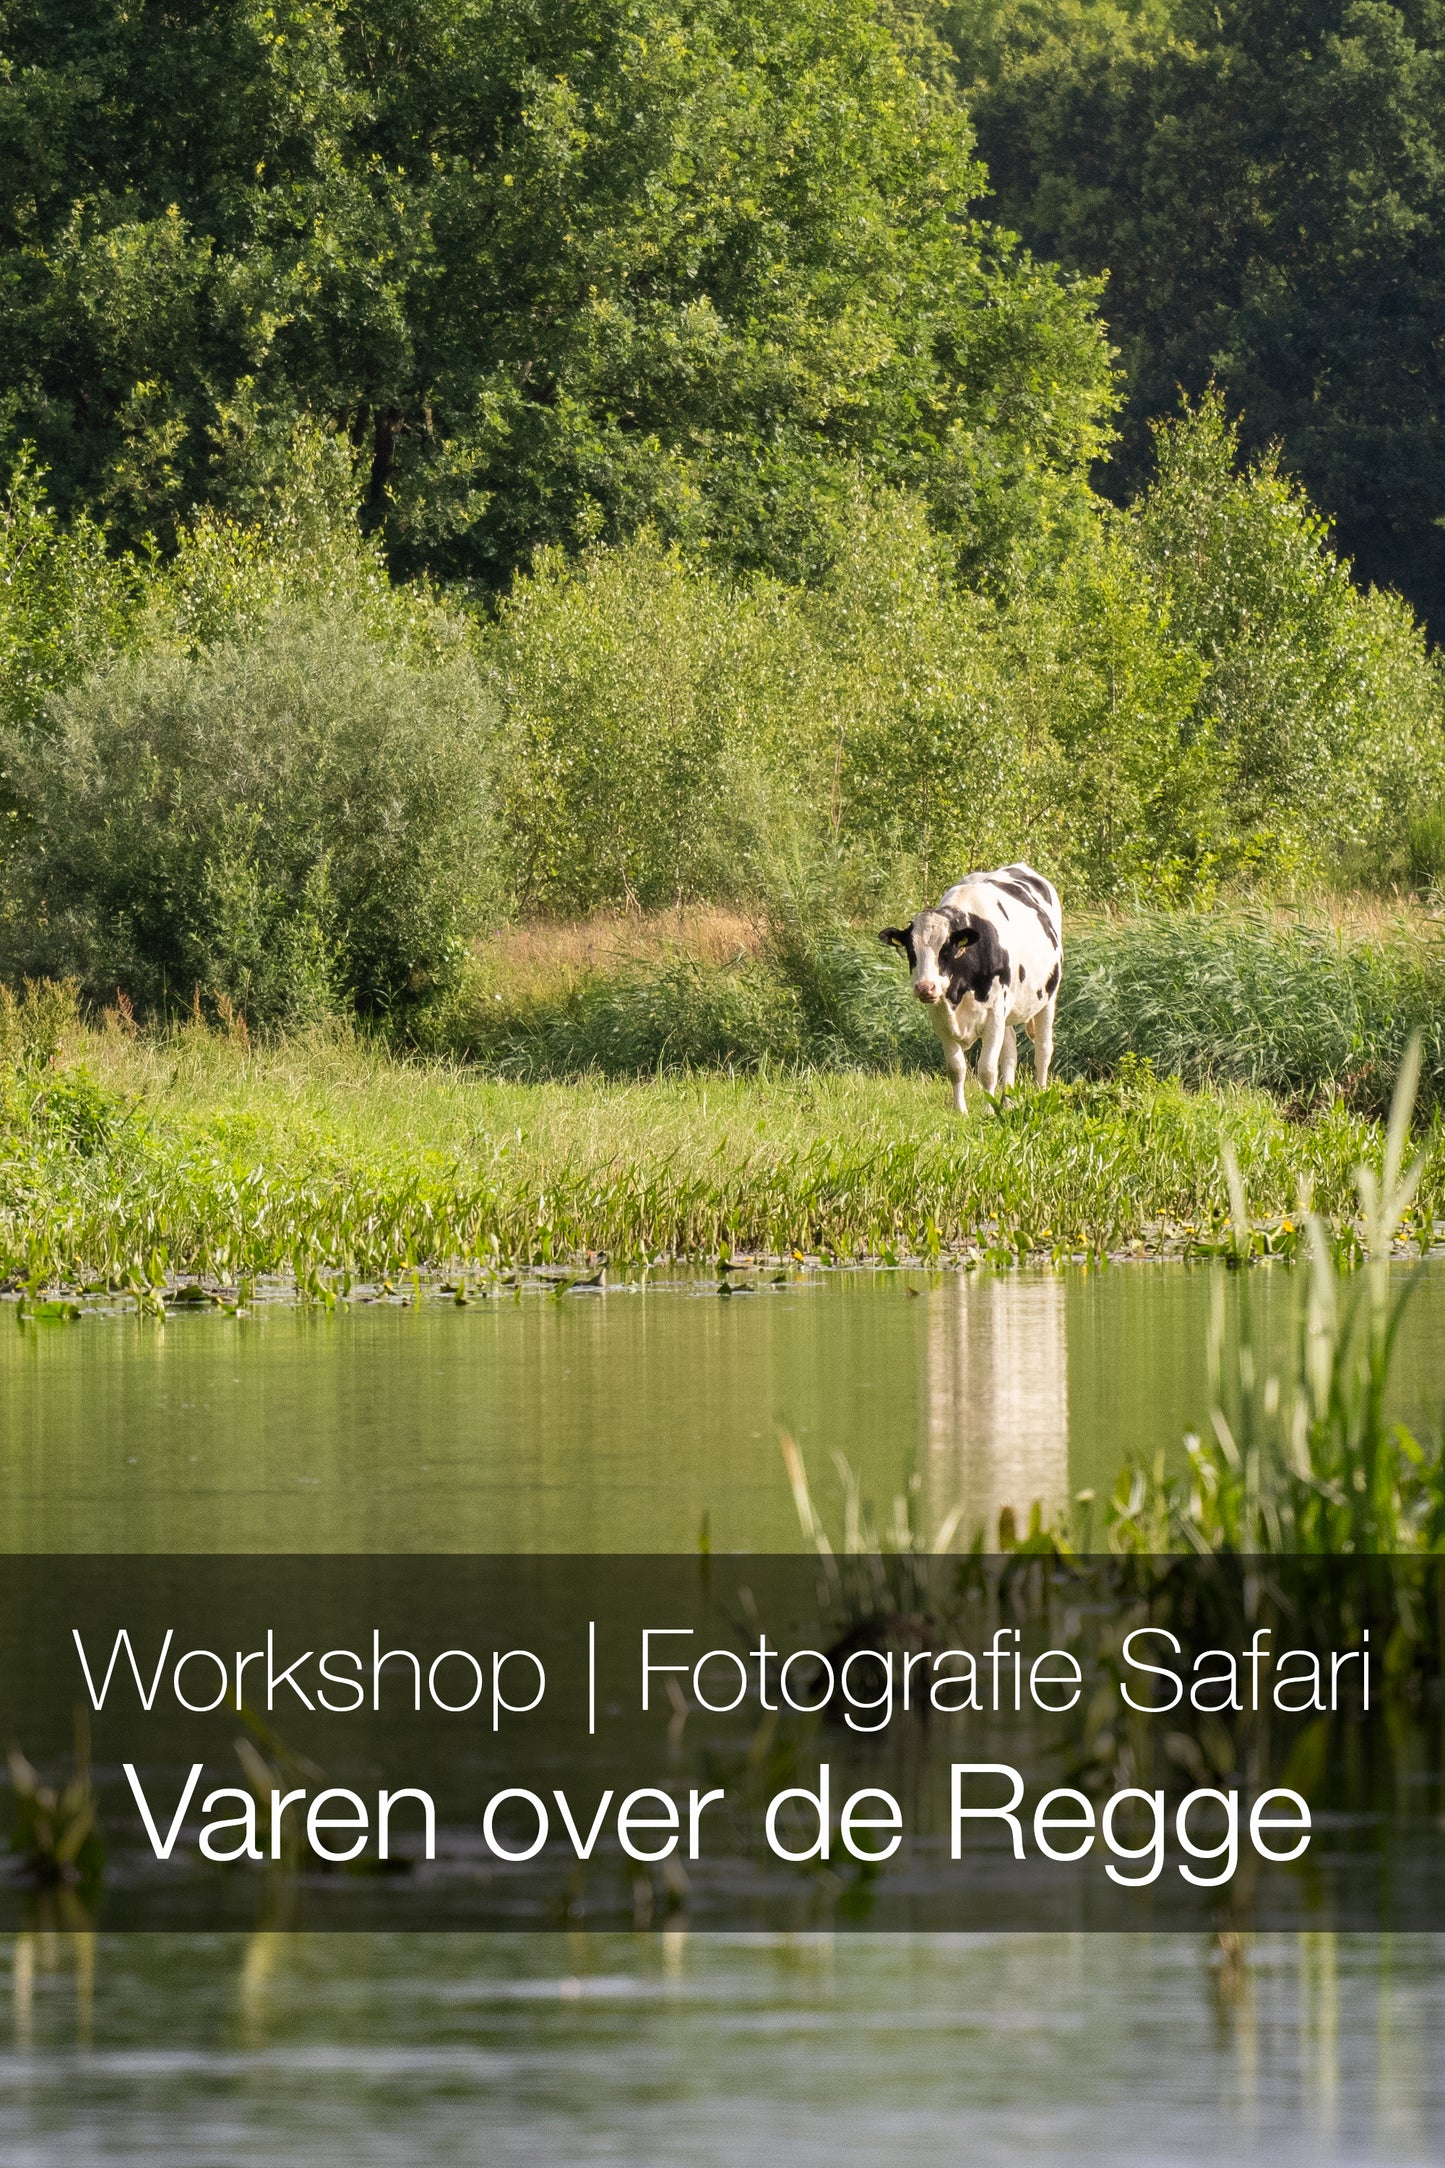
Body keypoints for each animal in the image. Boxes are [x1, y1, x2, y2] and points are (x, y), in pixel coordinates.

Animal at [883, 858, 1061, 1110]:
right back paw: (1008, 1102)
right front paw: (961, 1110)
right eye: (911, 951)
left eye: (946, 950)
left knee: (1043, 1050)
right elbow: (956, 1068)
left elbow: (987, 1069)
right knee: (1010, 1054)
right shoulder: (940, 1018)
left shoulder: (994, 1015)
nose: (925, 987)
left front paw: (988, 1110)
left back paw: (1041, 1092)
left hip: (1047, 998)